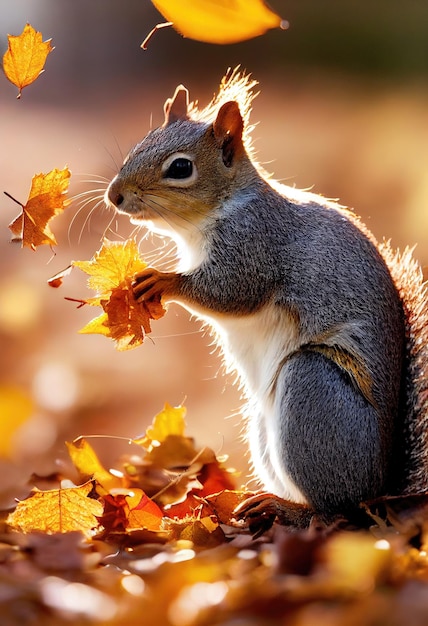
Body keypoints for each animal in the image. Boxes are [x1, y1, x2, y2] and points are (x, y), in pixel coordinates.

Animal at [106, 68, 428, 528]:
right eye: (137, 146)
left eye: (180, 168)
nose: (114, 195)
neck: (219, 211)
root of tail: (379, 490)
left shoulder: (256, 245)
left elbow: (231, 292)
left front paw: (164, 281)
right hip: (261, 425)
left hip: (311, 388)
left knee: (334, 509)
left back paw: (286, 508)